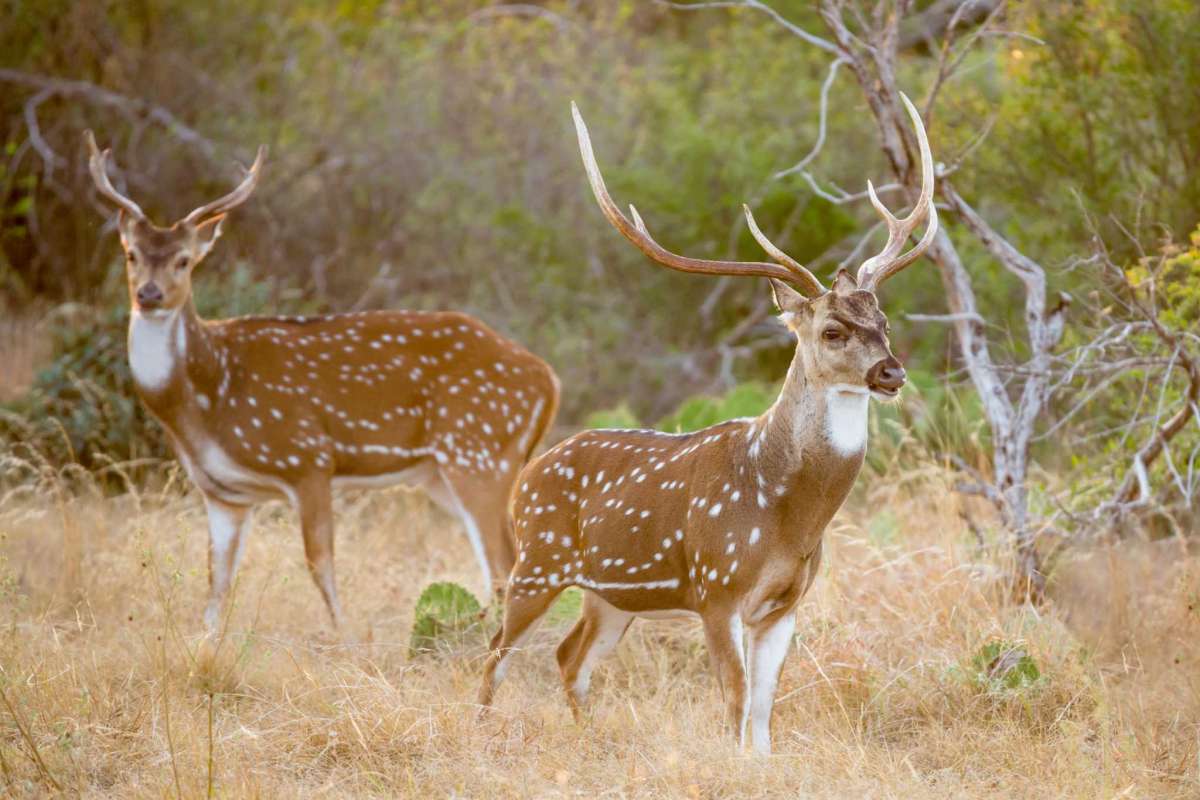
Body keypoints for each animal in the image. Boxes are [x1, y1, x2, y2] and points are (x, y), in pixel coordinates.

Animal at [84, 130, 561, 633]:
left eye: (183, 261)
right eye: (131, 254)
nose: (149, 294)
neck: (208, 400)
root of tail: (548, 380)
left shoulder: (307, 457)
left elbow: (320, 564)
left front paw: (343, 636)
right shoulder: (222, 493)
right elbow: (217, 582)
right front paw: (205, 641)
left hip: (480, 453)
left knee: (505, 566)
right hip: (443, 473)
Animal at [477, 97, 936, 753]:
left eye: (885, 323)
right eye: (832, 331)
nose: (891, 372)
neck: (787, 514)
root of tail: (526, 474)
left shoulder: (785, 604)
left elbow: (765, 709)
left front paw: (760, 762)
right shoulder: (718, 587)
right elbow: (736, 700)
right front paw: (731, 761)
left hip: (610, 596)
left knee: (570, 657)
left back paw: (588, 741)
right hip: (536, 561)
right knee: (495, 654)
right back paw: (481, 729)